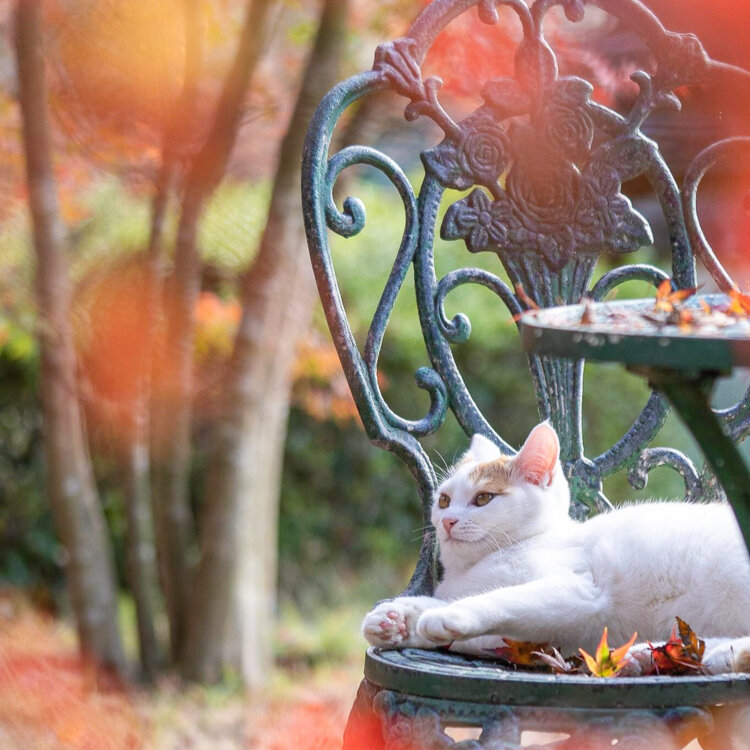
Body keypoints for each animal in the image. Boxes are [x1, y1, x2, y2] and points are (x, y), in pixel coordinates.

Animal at [362, 424, 750, 676]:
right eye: (443, 500)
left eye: (483, 498)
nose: (447, 520)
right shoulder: (545, 641)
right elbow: (484, 634)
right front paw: (396, 620)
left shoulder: (578, 590)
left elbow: (503, 598)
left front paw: (446, 615)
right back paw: (659, 655)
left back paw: (722, 656)